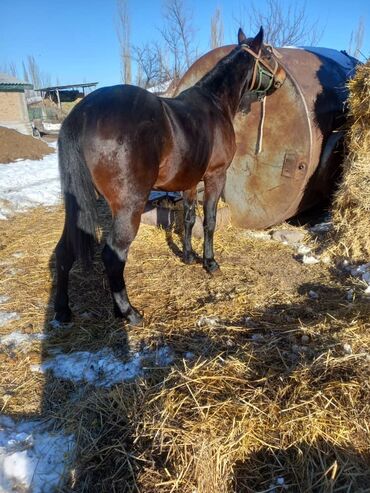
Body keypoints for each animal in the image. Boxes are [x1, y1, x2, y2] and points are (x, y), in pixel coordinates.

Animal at [54, 28, 286, 324]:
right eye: (267, 53)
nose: (282, 77)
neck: (216, 104)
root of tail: (82, 112)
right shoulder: (215, 176)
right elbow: (209, 221)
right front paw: (210, 263)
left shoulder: (189, 182)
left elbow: (187, 220)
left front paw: (188, 256)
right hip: (129, 206)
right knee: (113, 255)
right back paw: (129, 312)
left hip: (78, 205)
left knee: (64, 250)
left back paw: (63, 311)